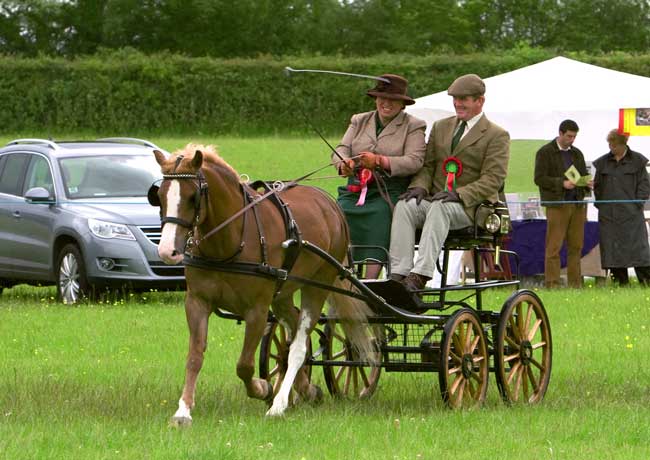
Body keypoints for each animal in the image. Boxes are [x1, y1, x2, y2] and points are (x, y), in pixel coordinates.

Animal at [151, 145, 372, 424]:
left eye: (192, 197)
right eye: (159, 195)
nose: (167, 251)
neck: (230, 241)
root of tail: (330, 204)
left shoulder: (257, 309)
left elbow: (244, 365)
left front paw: (262, 388)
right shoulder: (197, 302)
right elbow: (195, 356)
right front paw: (183, 410)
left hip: (317, 285)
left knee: (298, 344)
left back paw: (279, 403)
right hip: (283, 294)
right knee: (293, 334)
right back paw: (306, 390)